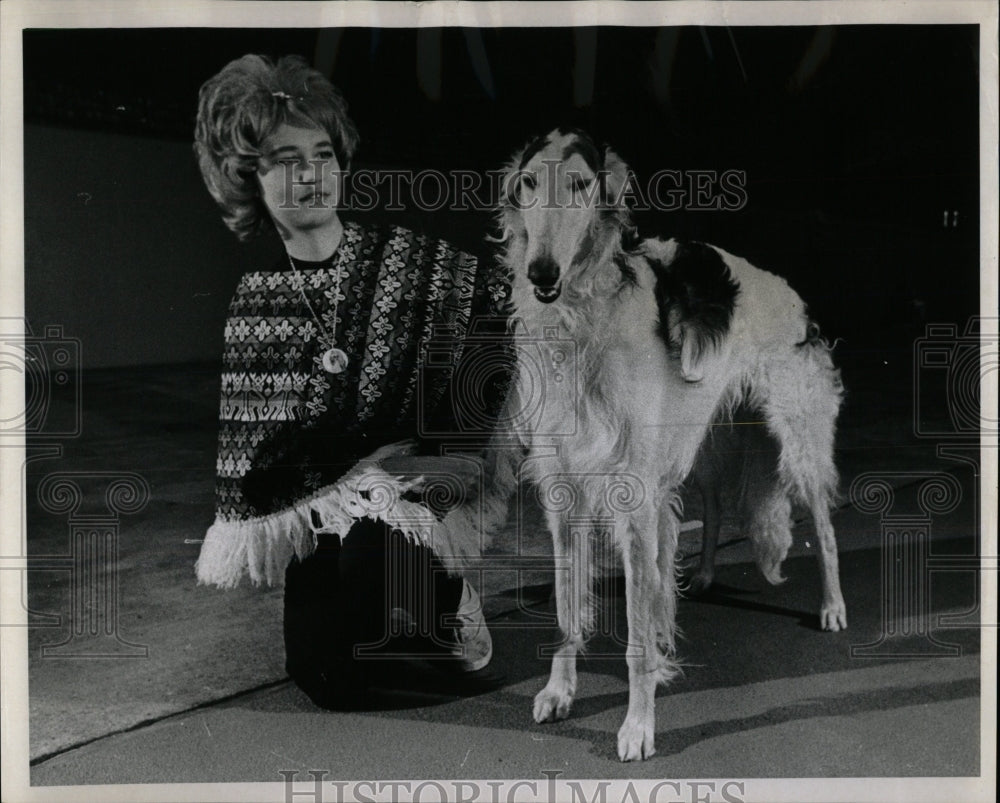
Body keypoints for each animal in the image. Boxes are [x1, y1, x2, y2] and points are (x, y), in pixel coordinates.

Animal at [476, 125, 844, 760]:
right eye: (528, 183)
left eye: (580, 185)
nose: (541, 273)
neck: (583, 321)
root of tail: (788, 291)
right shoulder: (563, 494)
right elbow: (567, 612)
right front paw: (559, 693)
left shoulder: (634, 498)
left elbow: (637, 639)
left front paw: (637, 727)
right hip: (701, 445)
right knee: (716, 504)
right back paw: (704, 576)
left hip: (797, 439)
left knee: (822, 525)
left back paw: (832, 607)